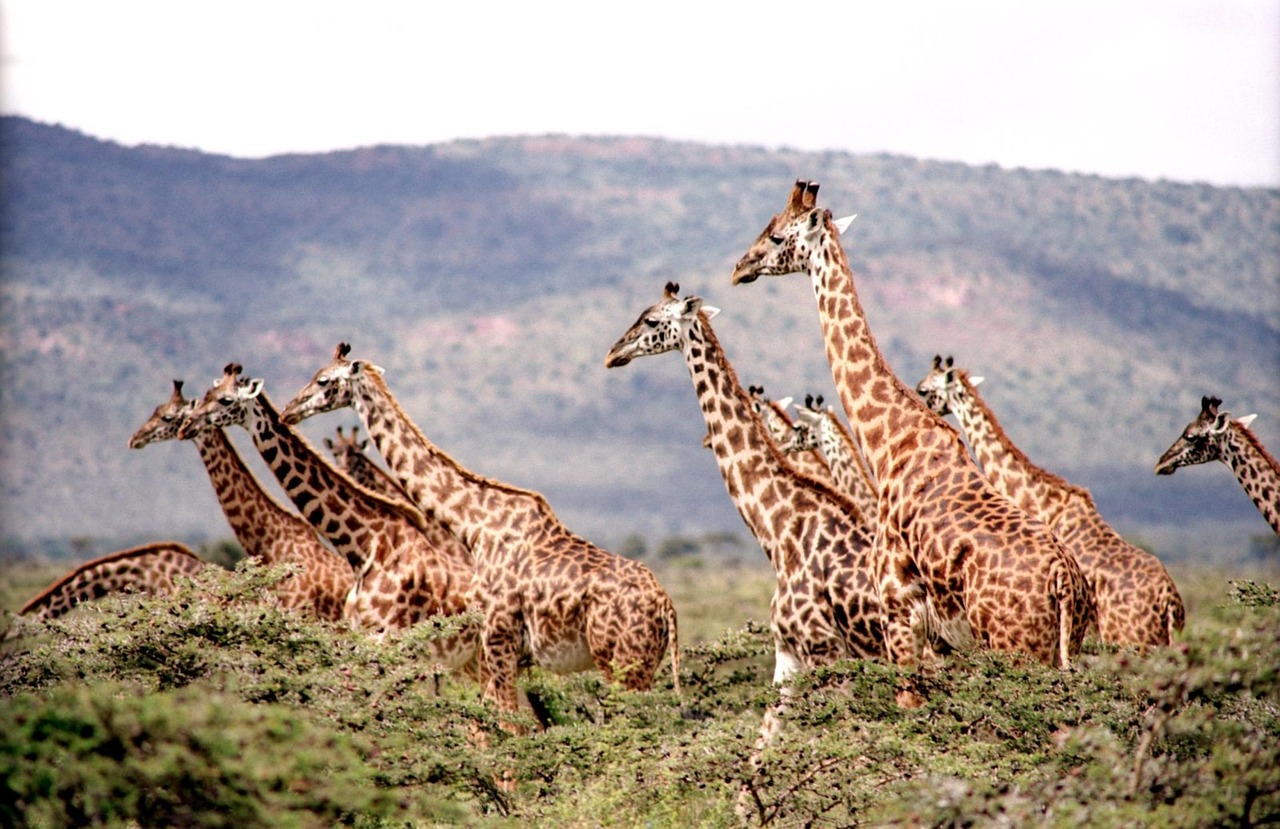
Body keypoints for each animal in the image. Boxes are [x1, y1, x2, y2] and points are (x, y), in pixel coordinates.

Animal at [280, 343, 680, 729]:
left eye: (323, 380)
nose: (288, 411)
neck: (476, 526)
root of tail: (666, 607)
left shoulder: (498, 640)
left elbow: (507, 725)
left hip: (620, 662)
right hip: (641, 664)